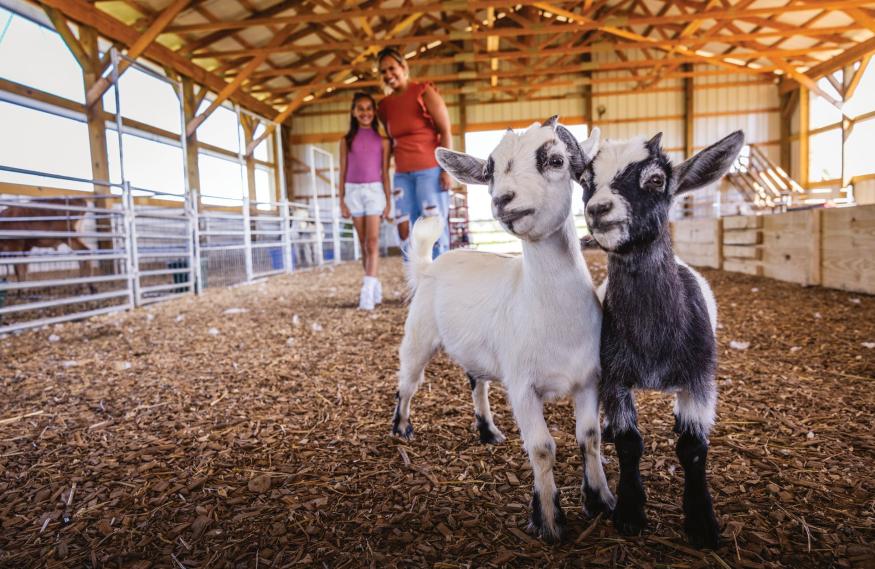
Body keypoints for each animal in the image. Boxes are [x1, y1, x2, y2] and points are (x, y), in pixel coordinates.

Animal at [391, 118, 614, 542]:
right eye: (490, 170)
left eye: (556, 159)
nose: (502, 200)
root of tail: (432, 264)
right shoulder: (522, 386)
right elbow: (542, 448)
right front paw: (548, 520)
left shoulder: (589, 380)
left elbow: (589, 438)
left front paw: (600, 500)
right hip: (419, 334)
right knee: (408, 382)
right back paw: (401, 428)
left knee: (476, 383)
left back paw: (488, 431)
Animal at [580, 131, 744, 549]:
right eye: (585, 180)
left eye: (655, 180)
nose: (598, 209)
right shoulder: (615, 376)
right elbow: (629, 442)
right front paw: (630, 512)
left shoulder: (699, 379)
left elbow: (693, 448)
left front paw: (702, 521)